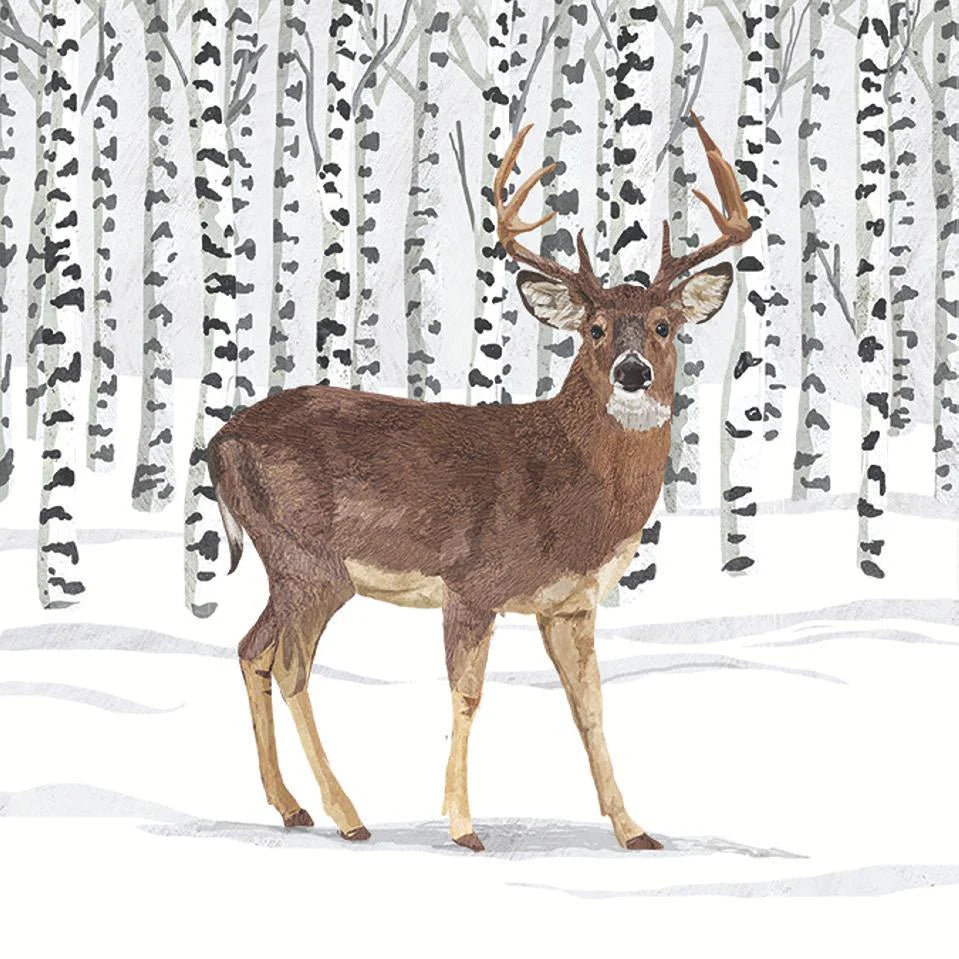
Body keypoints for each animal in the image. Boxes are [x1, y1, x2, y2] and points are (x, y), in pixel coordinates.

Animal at [208, 113, 751, 852]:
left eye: (665, 326)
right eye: (595, 328)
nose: (633, 372)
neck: (571, 486)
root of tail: (219, 442)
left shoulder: (570, 603)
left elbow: (590, 706)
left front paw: (633, 829)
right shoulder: (472, 582)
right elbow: (467, 696)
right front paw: (464, 826)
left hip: (286, 565)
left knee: (250, 650)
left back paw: (291, 806)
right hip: (310, 559)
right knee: (290, 665)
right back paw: (347, 815)